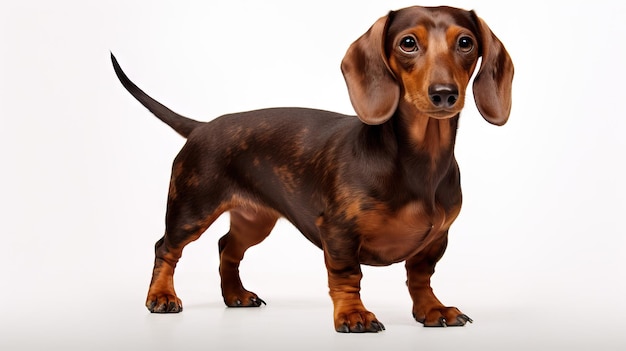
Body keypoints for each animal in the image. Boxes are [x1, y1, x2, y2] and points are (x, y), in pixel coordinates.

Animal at [112, 6, 512, 336]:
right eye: (408, 43)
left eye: (465, 42)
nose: (444, 93)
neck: (420, 162)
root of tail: (202, 127)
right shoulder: (338, 231)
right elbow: (347, 275)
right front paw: (354, 315)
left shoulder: (436, 238)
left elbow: (420, 276)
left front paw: (432, 310)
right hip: (192, 208)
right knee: (166, 247)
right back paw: (161, 297)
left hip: (255, 220)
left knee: (228, 247)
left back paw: (236, 295)